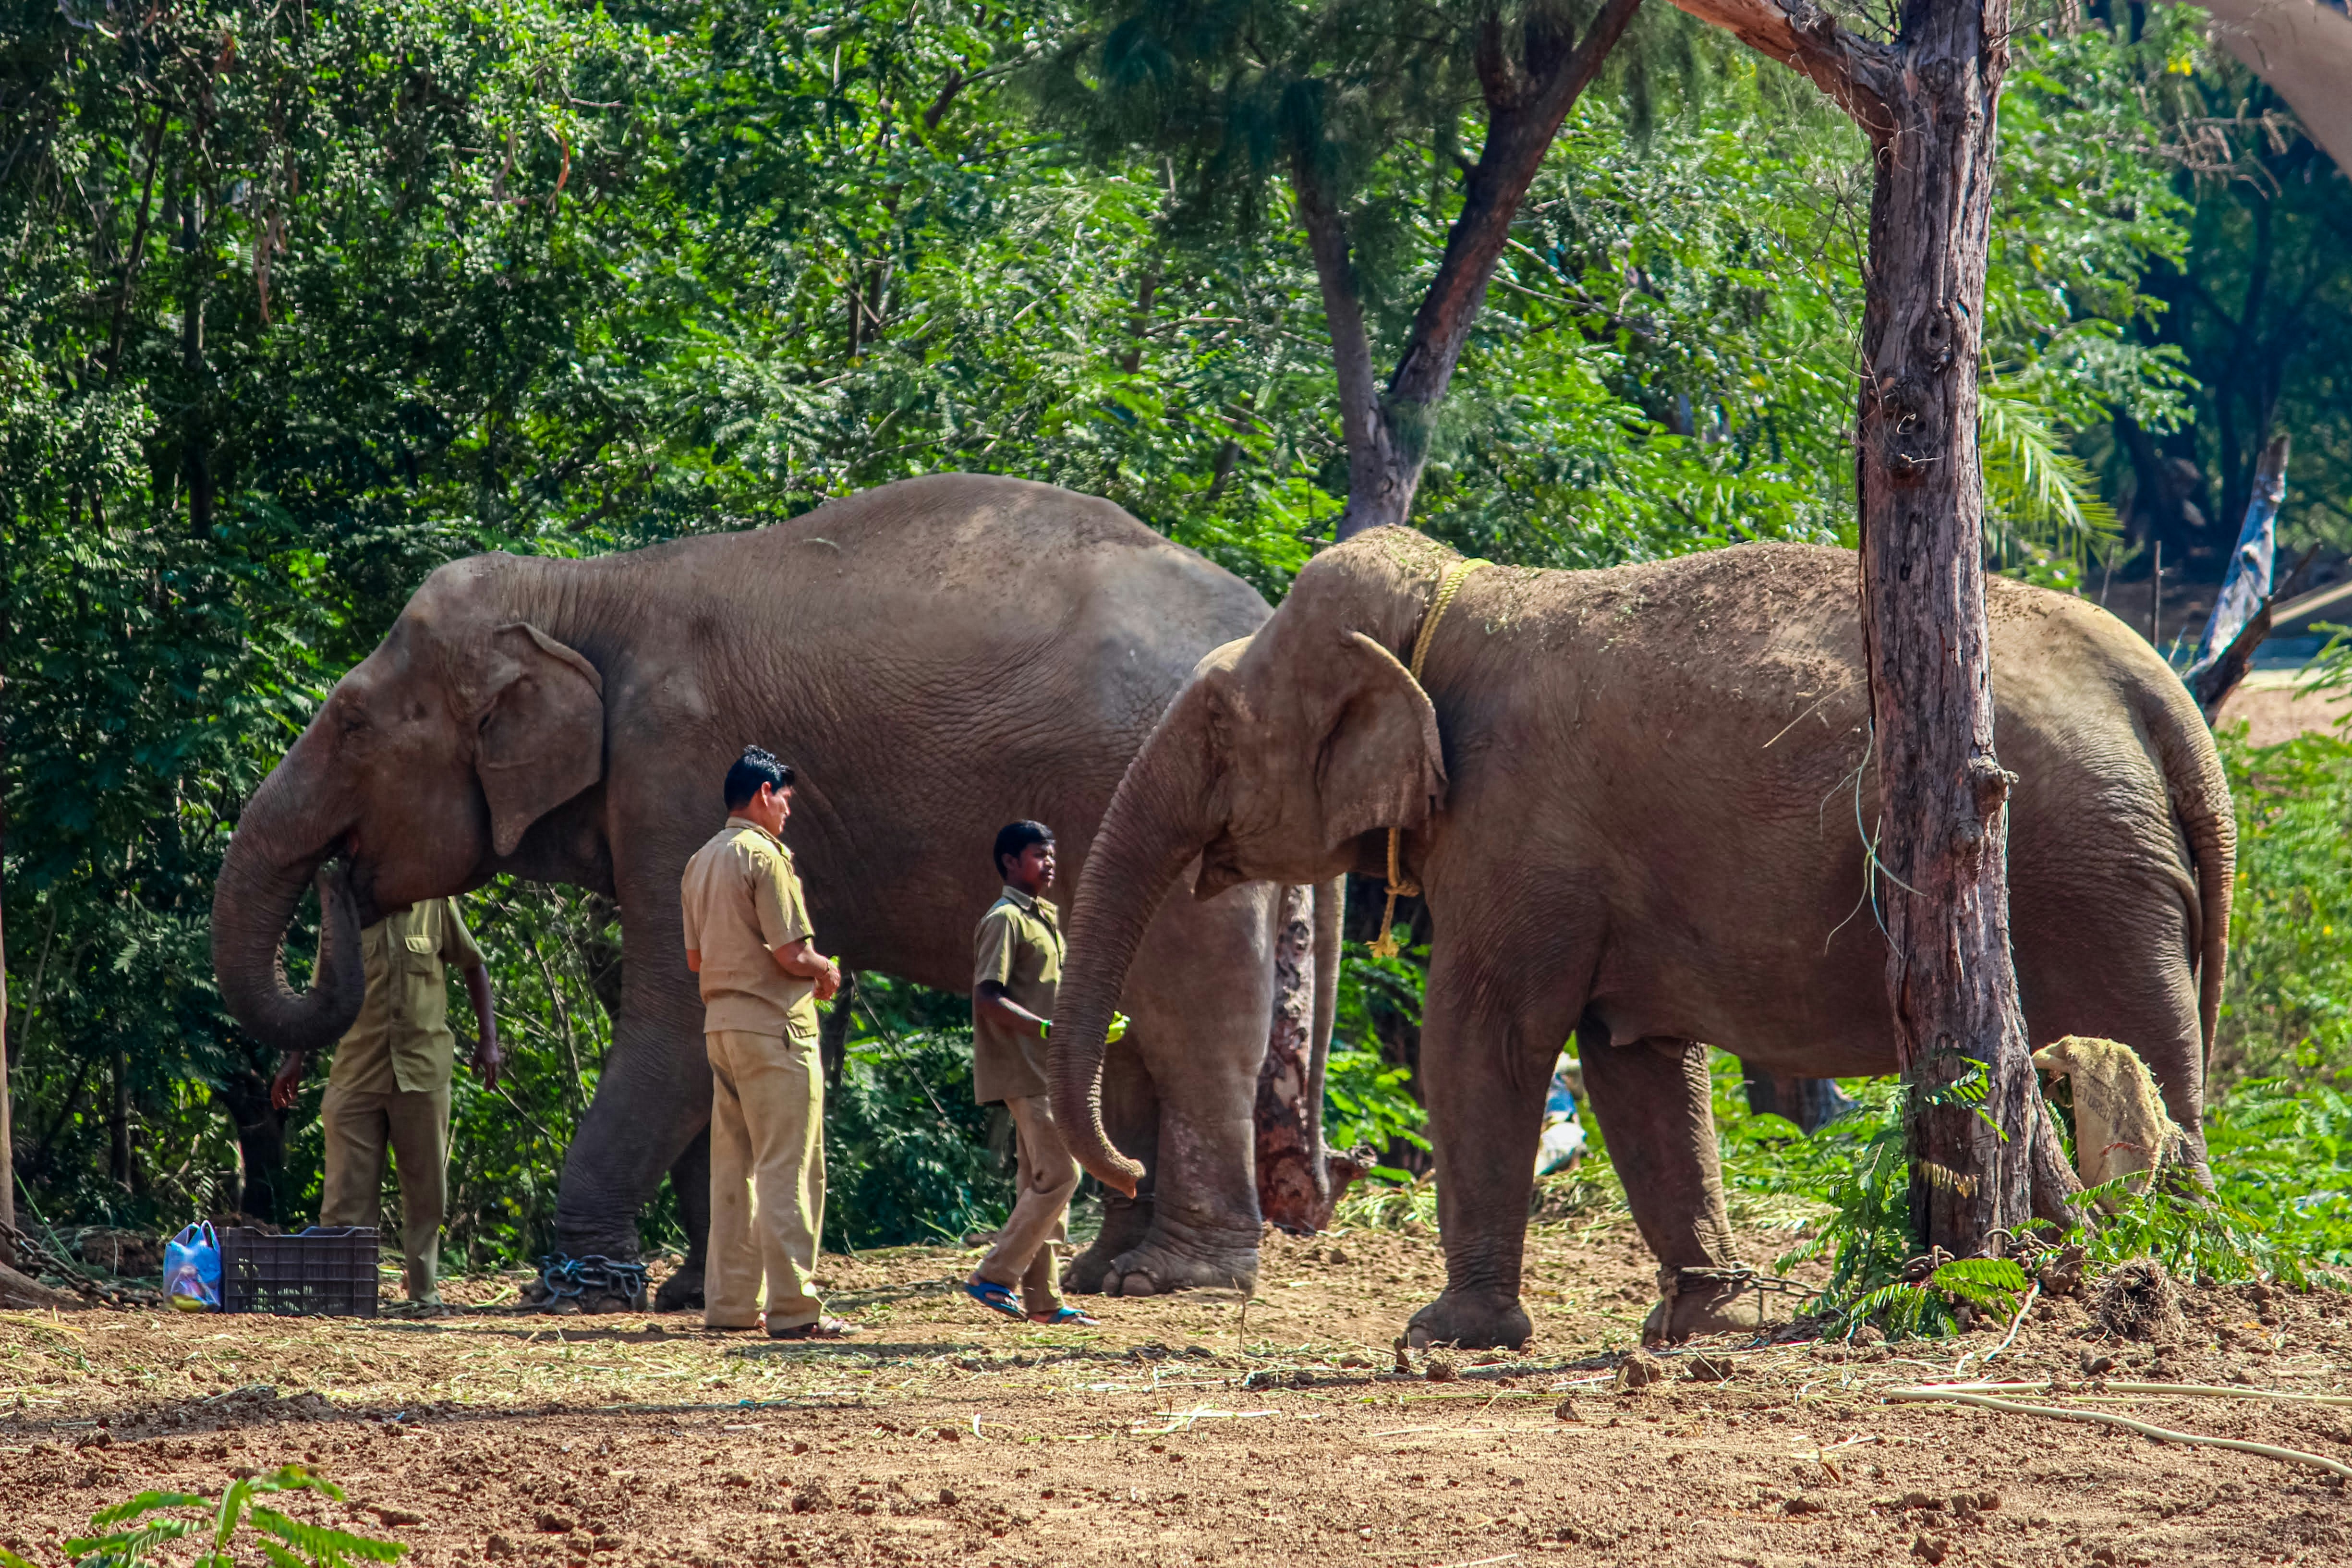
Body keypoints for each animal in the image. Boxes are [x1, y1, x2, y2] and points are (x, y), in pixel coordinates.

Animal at [212, 473, 1338, 1309]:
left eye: (352, 723)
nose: (344, 878)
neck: (581, 590)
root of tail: (1265, 623)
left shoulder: (673, 761)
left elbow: (670, 1019)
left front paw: (582, 1286)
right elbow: (713, 1017)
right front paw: (686, 1289)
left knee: (1193, 1024)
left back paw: (1177, 1279)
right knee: (1130, 1031)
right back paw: (1113, 1271)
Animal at [1046, 527, 2233, 1350]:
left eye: (1216, 724)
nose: (1119, 1166)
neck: (1462, 597)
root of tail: (2166, 699)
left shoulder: (1516, 828)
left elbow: (1486, 1041)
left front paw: (1444, 1335)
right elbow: (1634, 1059)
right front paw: (1695, 1326)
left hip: (2088, 883)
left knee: (2143, 1058)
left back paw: (2169, 1275)